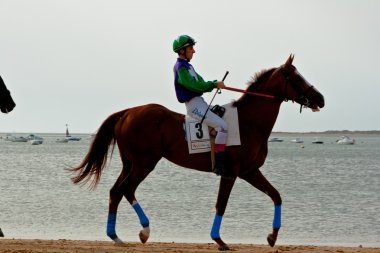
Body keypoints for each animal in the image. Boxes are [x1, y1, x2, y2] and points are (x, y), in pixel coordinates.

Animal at [70, 54, 326, 250]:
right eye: (296, 77)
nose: (320, 99)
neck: (249, 123)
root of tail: (127, 112)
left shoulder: (250, 172)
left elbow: (276, 195)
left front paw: (272, 236)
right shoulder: (231, 173)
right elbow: (221, 204)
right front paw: (219, 240)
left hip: (130, 163)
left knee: (116, 191)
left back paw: (116, 236)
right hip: (144, 163)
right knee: (126, 189)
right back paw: (144, 231)